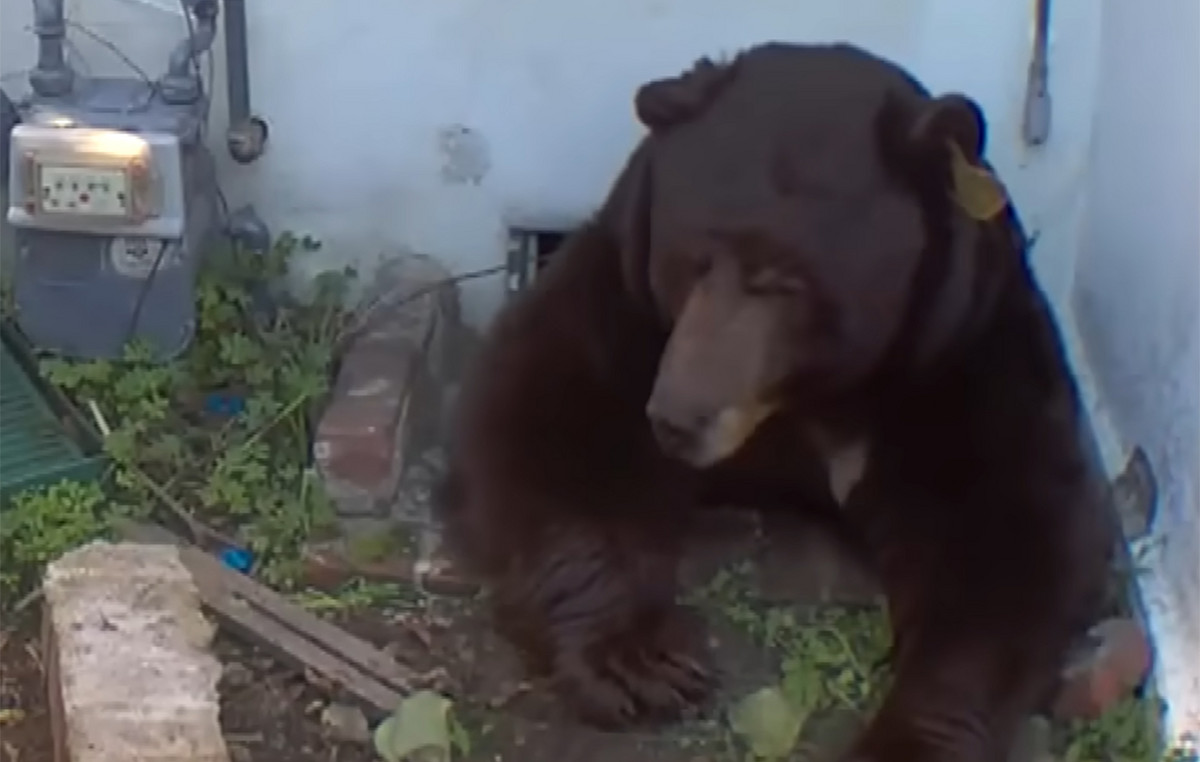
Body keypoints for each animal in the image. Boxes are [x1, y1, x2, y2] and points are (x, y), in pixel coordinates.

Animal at [436, 42, 1114, 761]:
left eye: (787, 282)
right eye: (691, 259)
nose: (678, 419)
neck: (809, 398)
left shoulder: (960, 359)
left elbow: (1012, 534)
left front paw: (907, 737)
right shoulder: (627, 305)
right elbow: (548, 415)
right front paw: (641, 661)